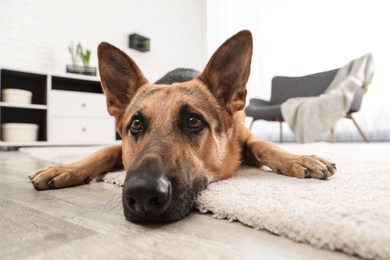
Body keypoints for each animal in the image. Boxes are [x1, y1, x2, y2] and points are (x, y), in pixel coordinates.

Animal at [29, 30, 336, 221]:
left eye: (193, 120)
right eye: (136, 124)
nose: (142, 194)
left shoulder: (246, 139)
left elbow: (264, 145)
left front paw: (299, 159)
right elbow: (103, 152)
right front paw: (65, 168)